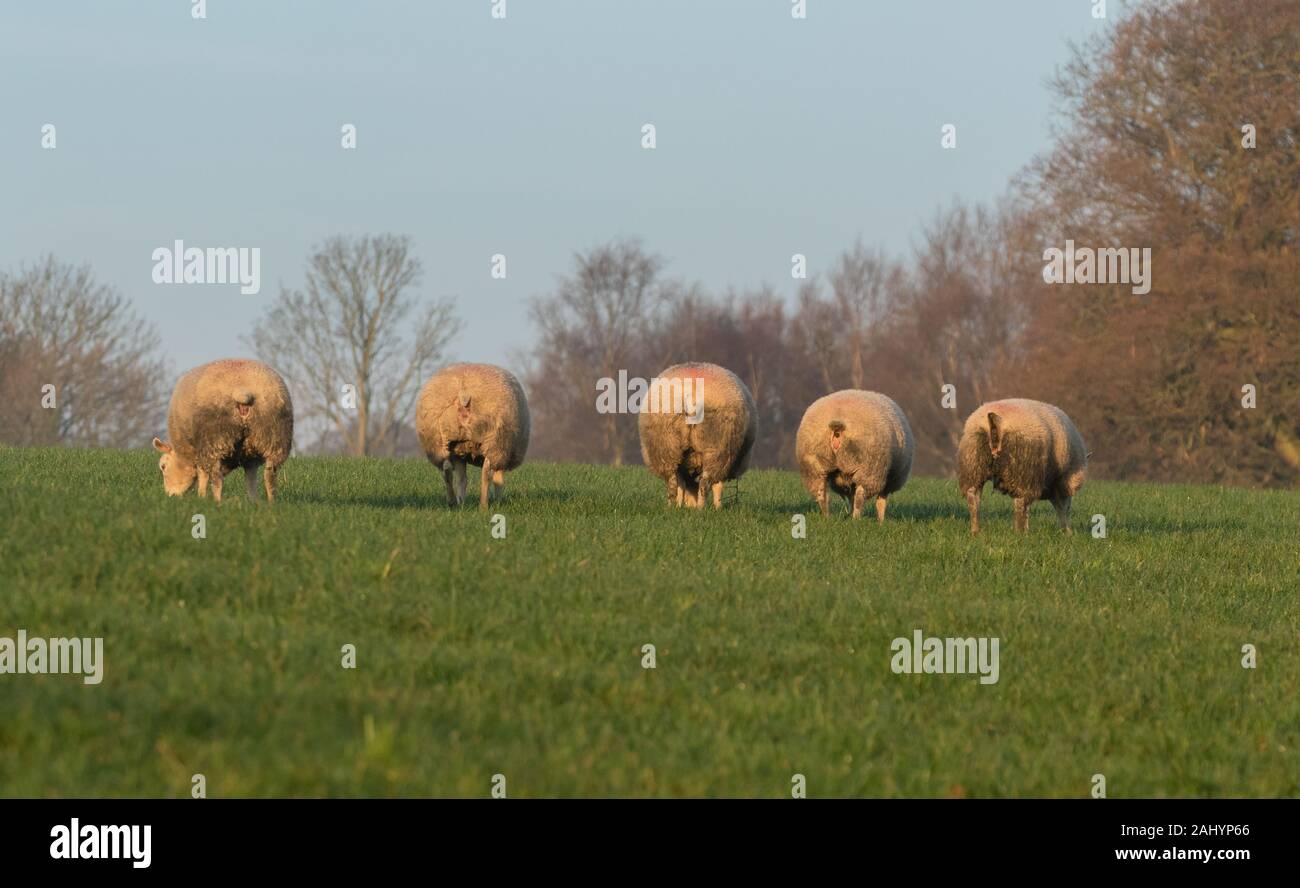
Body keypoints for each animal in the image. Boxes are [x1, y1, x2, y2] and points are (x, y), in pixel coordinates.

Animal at [151, 358, 294, 503]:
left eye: (163, 466)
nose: (170, 496)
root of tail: (242, 391)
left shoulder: (198, 450)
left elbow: (203, 474)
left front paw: (201, 496)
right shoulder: (250, 458)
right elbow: (251, 479)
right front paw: (254, 501)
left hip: (214, 440)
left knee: (216, 478)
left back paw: (217, 501)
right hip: (274, 437)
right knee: (270, 476)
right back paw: (271, 502)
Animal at [415, 363, 530, 509]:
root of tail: (464, 393)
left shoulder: (461, 454)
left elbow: (462, 479)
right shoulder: (504, 454)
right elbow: (499, 481)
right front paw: (498, 501)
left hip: (442, 443)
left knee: (449, 471)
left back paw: (455, 503)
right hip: (495, 442)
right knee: (486, 473)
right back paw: (483, 505)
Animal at [638, 362, 756, 509]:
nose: (690, 506)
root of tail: (692, 394)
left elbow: (682, 485)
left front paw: (680, 505)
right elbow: (717, 486)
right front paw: (718, 508)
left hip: (667, 445)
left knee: (672, 482)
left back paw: (672, 506)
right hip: (717, 447)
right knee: (705, 482)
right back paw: (701, 508)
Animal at [795, 390, 914, 520]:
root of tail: (838, 426)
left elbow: (852, 497)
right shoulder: (890, 479)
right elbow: (881, 501)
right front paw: (881, 521)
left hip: (814, 468)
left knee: (821, 494)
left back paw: (827, 517)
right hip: (870, 468)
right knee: (860, 497)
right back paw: (856, 518)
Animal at [957, 398, 1088, 534]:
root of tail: (996, 419)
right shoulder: (1062, 482)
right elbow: (1060, 508)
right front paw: (1067, 531)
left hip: (973, 462)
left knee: (973, 497)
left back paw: (975, 530)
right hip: (1024, 467)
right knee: (1020, 502)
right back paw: (1020, 532)